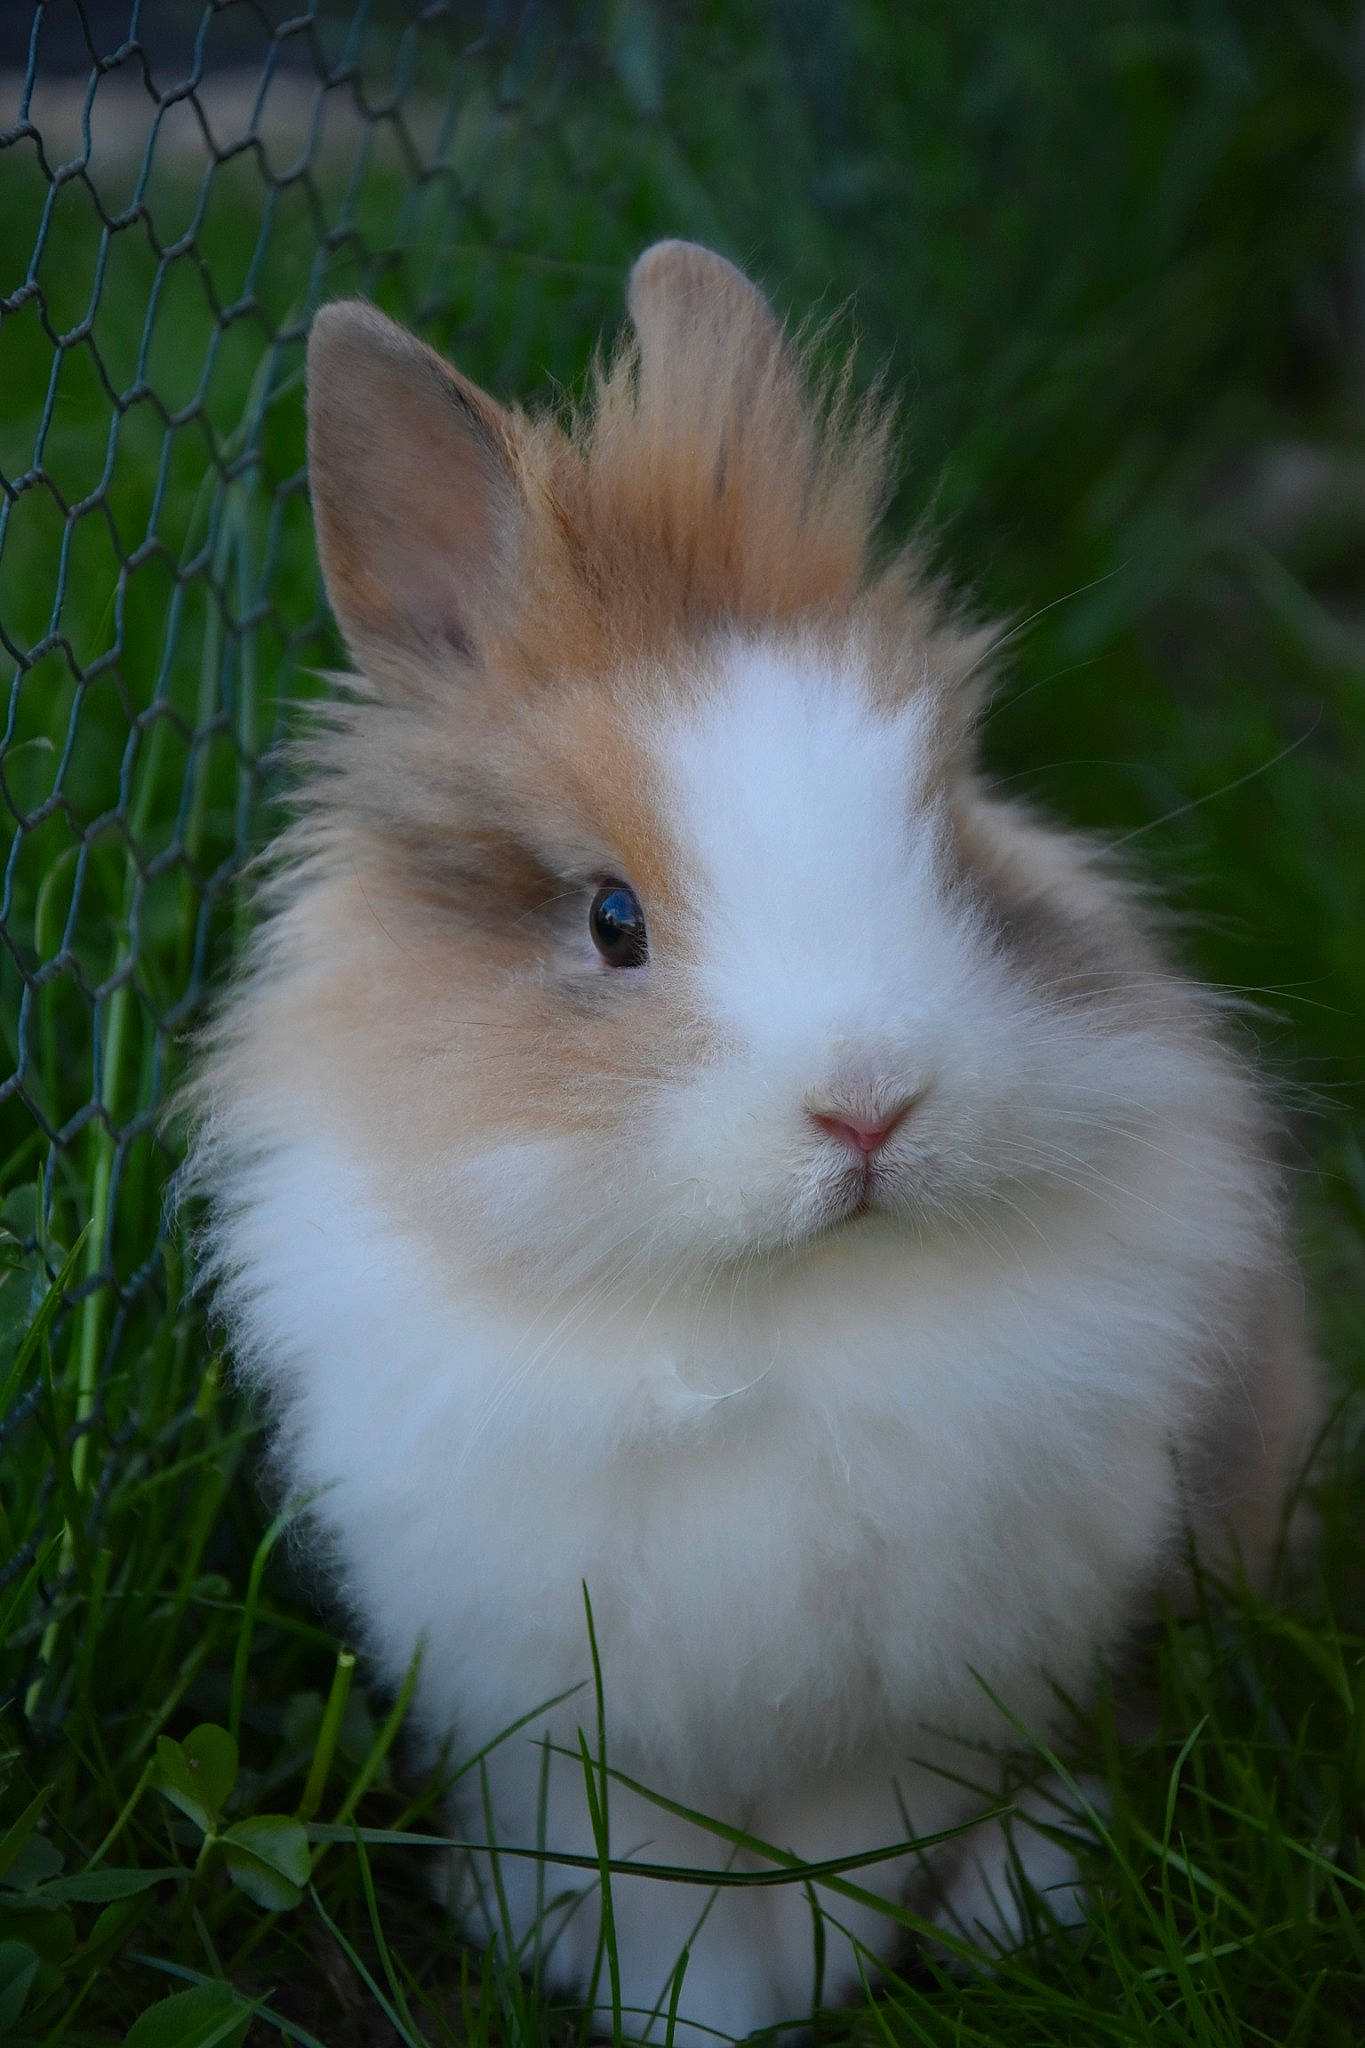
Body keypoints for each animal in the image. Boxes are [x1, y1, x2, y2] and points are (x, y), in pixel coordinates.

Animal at [190, 240, 1320, 2043]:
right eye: (611, 919)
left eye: (951, 840)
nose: (870, 1103)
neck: (753, 1316)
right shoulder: (563, 1710)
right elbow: (652, 1880)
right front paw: (681, 2006)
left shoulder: (920, 1689)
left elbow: (853, 1841)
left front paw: (816, 1976)